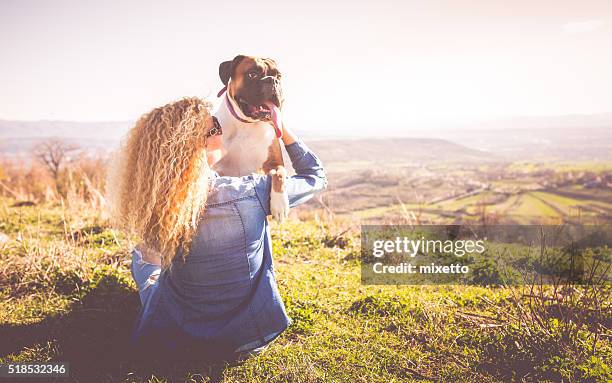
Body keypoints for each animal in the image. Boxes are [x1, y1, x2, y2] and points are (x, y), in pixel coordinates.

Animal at [208, 54, 290, 222]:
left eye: (278, 76)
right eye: (252, 74)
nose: (272, 80)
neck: (246, 124)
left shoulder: (275, 163)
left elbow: (279, 174)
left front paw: (280, 205)